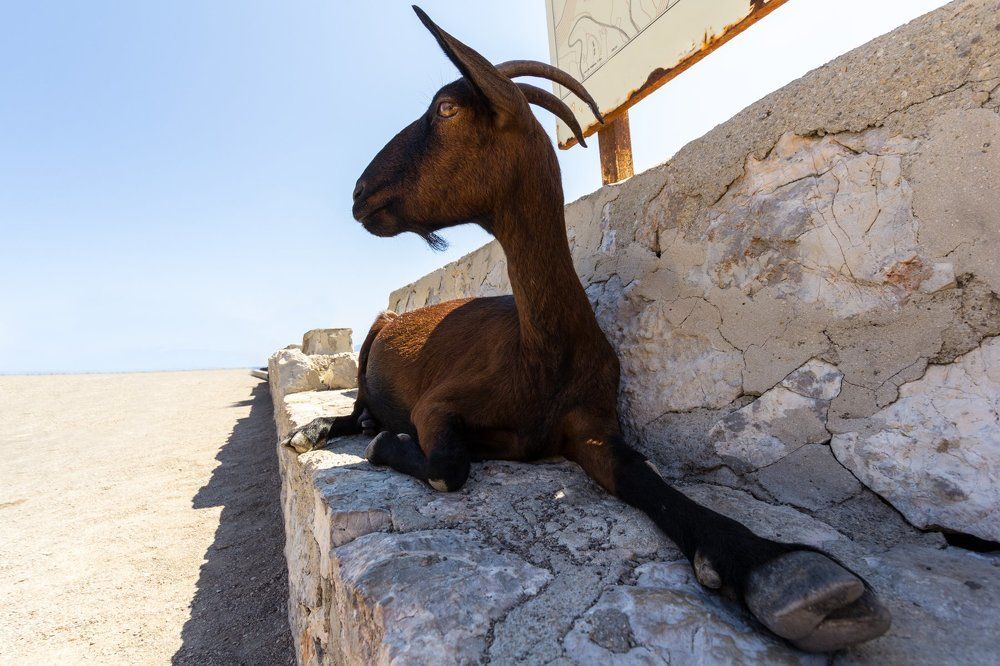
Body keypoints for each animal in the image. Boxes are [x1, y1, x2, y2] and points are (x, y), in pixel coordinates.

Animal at [282, 6, 891, 653]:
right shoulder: (438, 404)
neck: (540, 353)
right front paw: (387, 445)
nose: (358, 194)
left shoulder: (590, 426)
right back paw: (316, 431)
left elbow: (642, 476)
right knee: (357, 409)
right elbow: (449, 467)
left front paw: (775, 567)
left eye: (446, 108)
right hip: (375, 336)